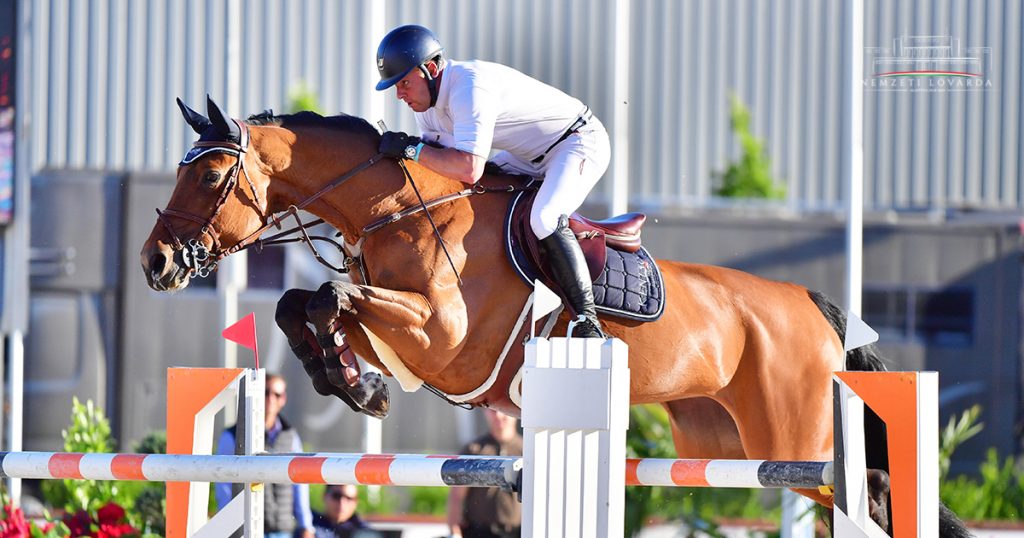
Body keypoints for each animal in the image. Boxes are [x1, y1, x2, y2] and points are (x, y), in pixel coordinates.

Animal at [142, 95, 966, 532]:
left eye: (211, 177)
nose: (155, 263)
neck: (399, 212)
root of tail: (814, 306)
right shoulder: (404, 339)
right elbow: (302, 305)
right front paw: (356, 386)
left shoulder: (444, 341)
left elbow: (332, 297)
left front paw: (355, 386)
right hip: (732, 442)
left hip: (798, 435)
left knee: (875, 488)